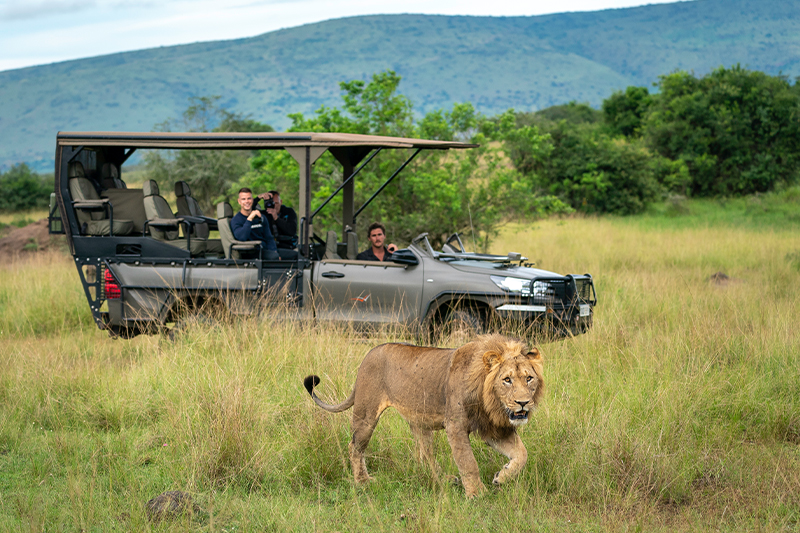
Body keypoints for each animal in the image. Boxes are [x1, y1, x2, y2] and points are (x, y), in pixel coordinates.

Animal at [302, 334, 544, 496]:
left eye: (529, 378)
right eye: (507, 380)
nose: (523, 403)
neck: (490, 402)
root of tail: (369, 353)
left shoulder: (492, 428)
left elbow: (522, 454)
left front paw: (501, 477)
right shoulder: (455, 426)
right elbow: (468, 462)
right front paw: (477, 493)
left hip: (419, 422)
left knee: (425, 455)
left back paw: (444, 480)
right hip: (366, 414)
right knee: (355, 446)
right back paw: (362, 481)